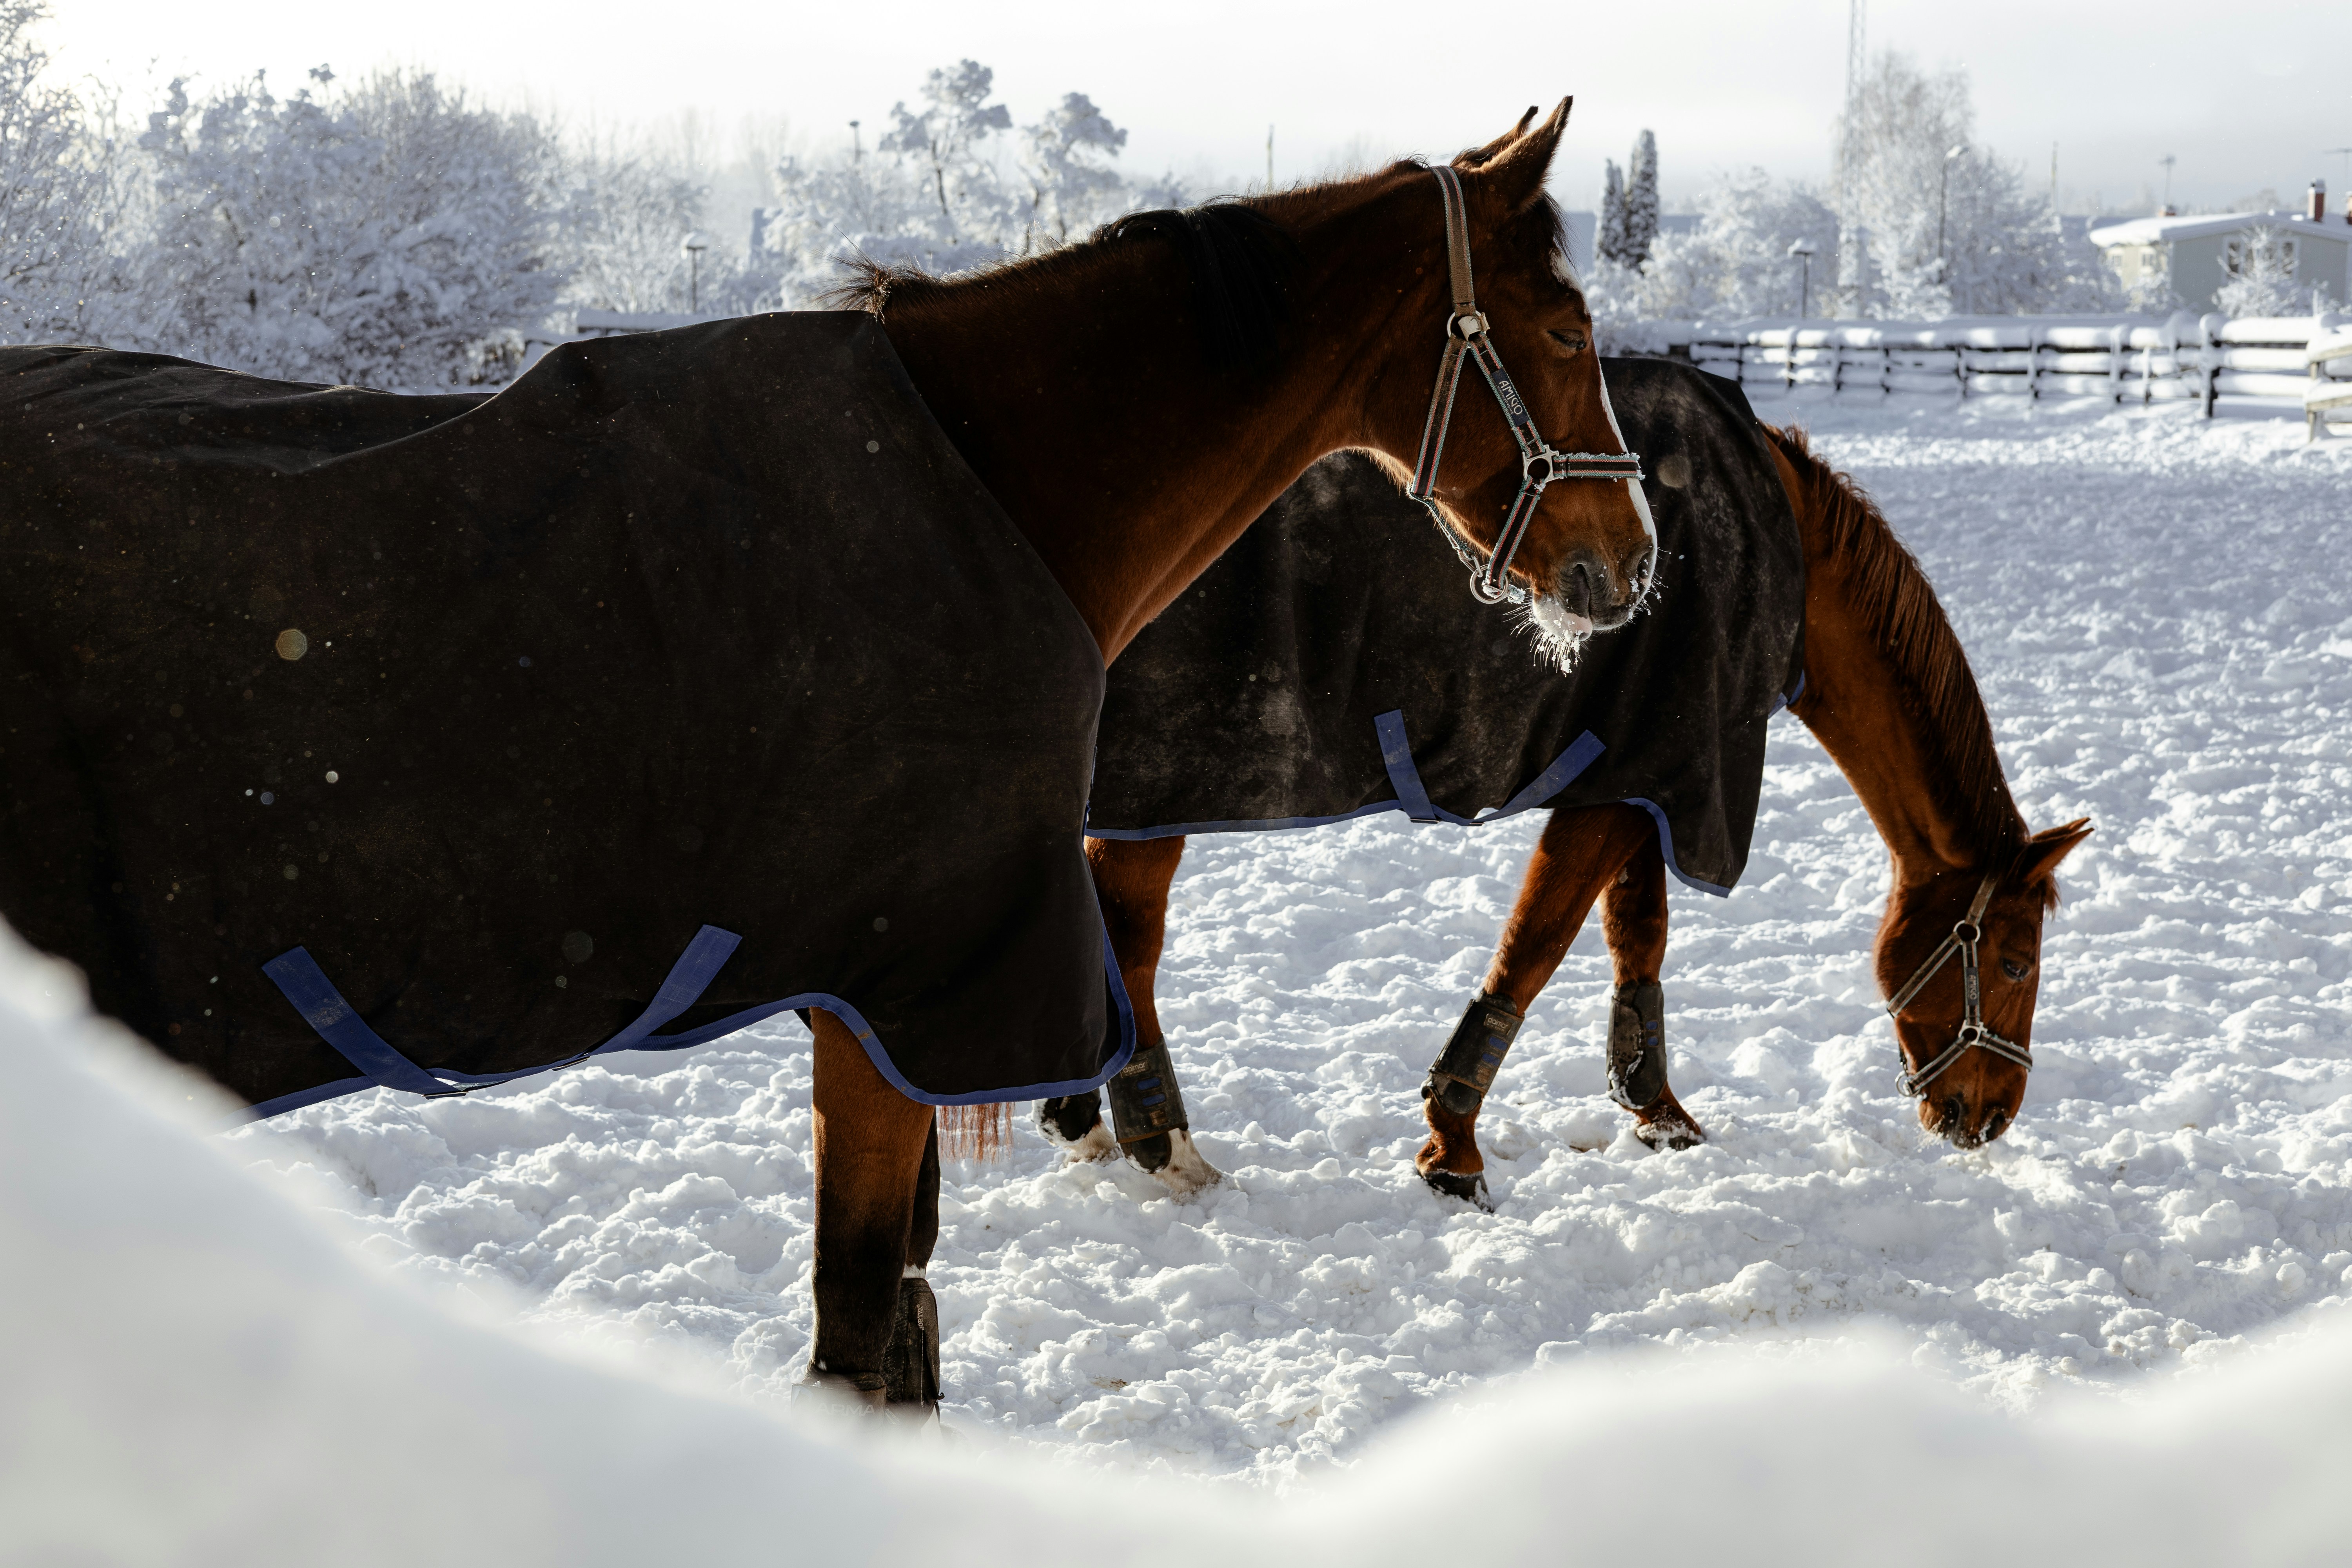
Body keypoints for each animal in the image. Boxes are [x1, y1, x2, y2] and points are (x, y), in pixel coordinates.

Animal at [0, 102, 1651, 1414]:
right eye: (1569, 332)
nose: (1631, 560)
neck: (994, 481)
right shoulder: (902, 988)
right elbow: (863, 1334)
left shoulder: (890, 999)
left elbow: (895, 1318)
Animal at [1048, 365, 2091, 1205]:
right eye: (2012, 962)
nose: (1989, 1114)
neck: (1777, 546)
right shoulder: (1629, 777)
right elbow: (1537, 947)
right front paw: (1452, 1146)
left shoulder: (1645, 775)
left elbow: (1638, 934)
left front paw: (1657, 1108)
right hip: (1156, 795)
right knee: (1130, 939)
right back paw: (1158, 1138)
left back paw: (1085, 1115)